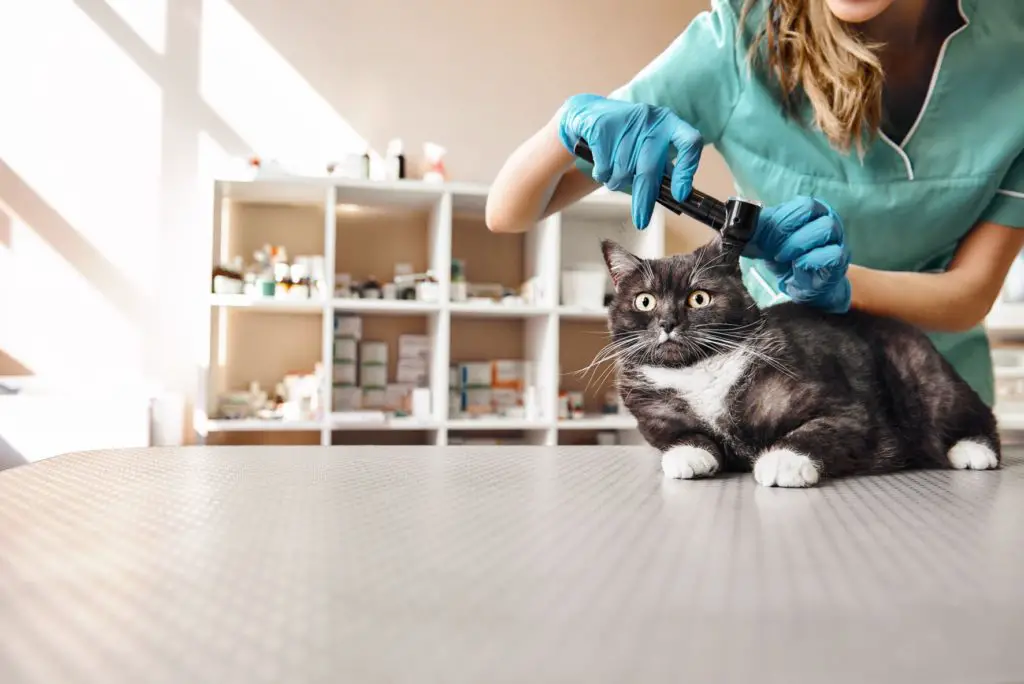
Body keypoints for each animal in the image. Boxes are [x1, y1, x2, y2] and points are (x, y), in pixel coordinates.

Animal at [598, 237, 999, 489]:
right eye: (645, 301)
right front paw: (687, 455)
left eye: (699, 298)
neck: (699, 370)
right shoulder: (655, 417)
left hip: (926, 378)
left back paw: (973, 450)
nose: (667, 322)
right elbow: (682, 435)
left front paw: (783, 461)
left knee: (976, 414)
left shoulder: (847, 409)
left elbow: (816, 430)